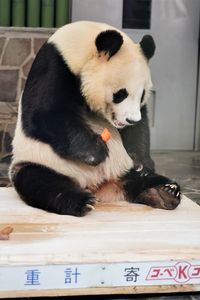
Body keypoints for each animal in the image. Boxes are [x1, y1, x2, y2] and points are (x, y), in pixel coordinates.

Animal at [9, 21, 181, 216]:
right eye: (121, 94)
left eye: (142, 94)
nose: (130, 120)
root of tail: (99, 187)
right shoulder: (53, 66)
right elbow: (44, 113)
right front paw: (96, 150)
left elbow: (140, 127)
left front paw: (141, 161)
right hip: (41, 162)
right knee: (40, 182)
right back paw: (79, 201)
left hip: (123, 168)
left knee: (142, 180)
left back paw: (164, 192)